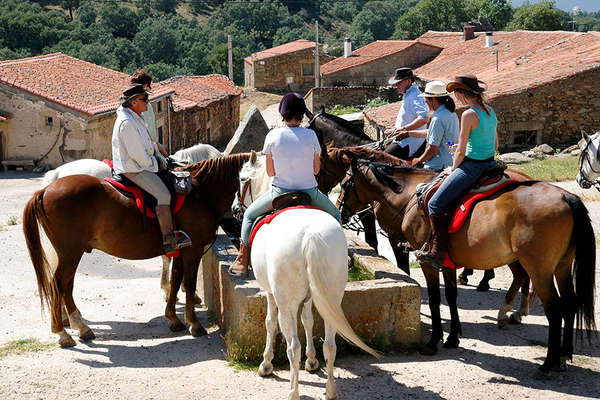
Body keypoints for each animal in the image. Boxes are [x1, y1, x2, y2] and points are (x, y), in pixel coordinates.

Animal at [24, 153, 250, 346]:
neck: (200, 194)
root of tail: (47, 189)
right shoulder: (192, 252)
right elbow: (189, 282)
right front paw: (194, 324)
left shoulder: (181, 251)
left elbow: (176, 279)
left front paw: (173, 318)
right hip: (70, 252)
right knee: (59, 284)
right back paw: (64, 332)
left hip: (69, 253)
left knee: (65, 285)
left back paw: (78, 326)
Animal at [237, 155, 378, 400]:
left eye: (243, 179)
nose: (236, 208)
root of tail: (310, 235)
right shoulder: (312, 296)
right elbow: (308, 320)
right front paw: (312, 361)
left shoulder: (271, 294)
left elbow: (270, 323)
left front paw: (266, 364)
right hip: (332, 296)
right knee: (330, 344)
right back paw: (330, 390)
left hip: (287, 303)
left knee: (293, 347)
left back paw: (293, 391)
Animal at [336, 154, 596, 376]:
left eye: (346, 183)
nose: (340, 210)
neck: (411, 194)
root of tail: (566, 197)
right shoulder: (447, 262)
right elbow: (451, 296)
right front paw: (453, 337)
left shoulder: (427, 263)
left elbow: (433, 298)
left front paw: (434, 340)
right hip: (562, 266)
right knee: (569, 303)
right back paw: (563, 355)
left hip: (539, 269)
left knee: (554, 308)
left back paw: (548, 361)